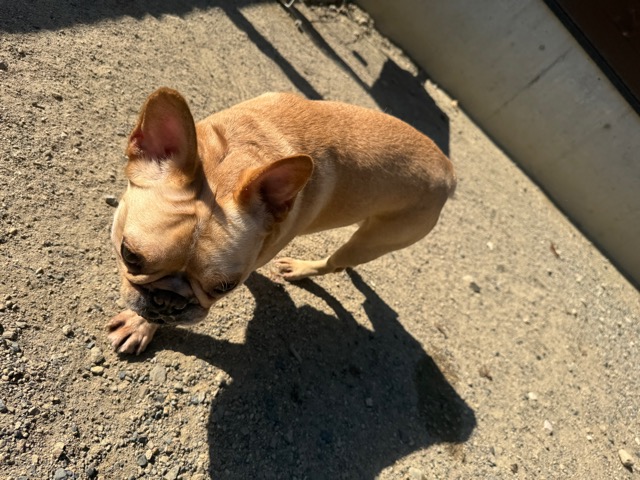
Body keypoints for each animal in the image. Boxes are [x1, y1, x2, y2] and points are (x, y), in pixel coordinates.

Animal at [107, 88, 456, 354]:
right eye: (130, 255)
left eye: (225, 287)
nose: (169, 301)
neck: (231, 163)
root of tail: (449, 173)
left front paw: (141, 325)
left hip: (369, 241)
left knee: (336, 262)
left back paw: (301, 268)